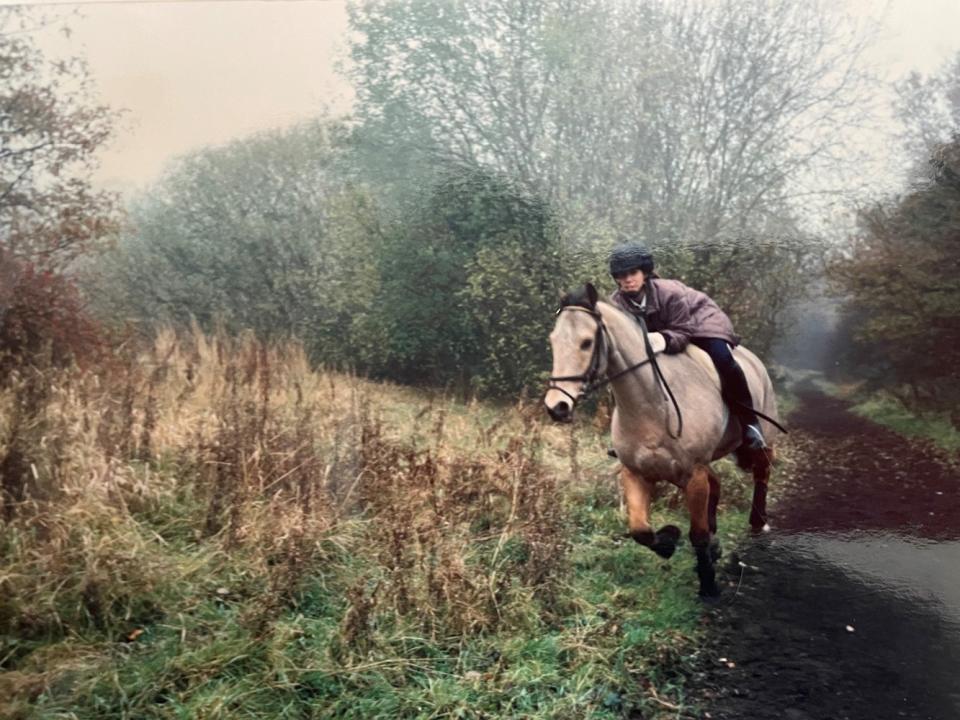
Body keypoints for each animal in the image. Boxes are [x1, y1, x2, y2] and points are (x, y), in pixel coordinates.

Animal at [544, 284, 776, 600]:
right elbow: (640, 530)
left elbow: (698, 535)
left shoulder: (694, 474)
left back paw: (757, 523)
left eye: (587, 342)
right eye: (553, 341)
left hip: (762, 442)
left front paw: (708, 585)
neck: (652, 405)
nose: (557, 406)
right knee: (717, 485)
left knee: (762, 474)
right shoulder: (635, 473)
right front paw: (668, 540)